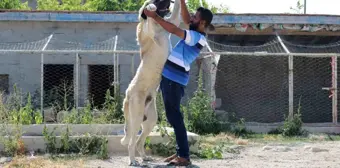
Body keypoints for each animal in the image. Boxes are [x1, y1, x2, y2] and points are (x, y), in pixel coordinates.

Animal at [121, 0, 182, 165]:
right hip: (136, 118)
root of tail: (127, 95)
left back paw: (144, 157)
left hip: (150, 121)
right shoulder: (148, 31)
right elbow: (145, 16)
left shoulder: (172, 23)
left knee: (139, 142)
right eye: (158, 1)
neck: (158, 25)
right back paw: (133, 161)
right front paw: (149, 7)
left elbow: (175, 13)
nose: (167, 2)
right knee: (131, 142)